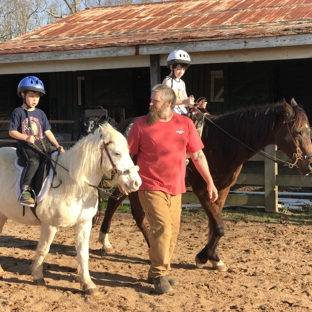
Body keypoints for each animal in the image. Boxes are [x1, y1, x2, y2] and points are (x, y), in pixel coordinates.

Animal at [0, 122, 140, 294]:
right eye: (117, 153)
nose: (136, 183)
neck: (72, 182)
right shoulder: (49, 225)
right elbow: (43, 249)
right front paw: (38, 276)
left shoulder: (84, 224)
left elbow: (83, 254)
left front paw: (88, 284)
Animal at [97, 98, 312, 272]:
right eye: (297, 132)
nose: (308, 164)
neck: (222, 142)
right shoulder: (202, 189)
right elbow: (219, 227)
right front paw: (203, 257)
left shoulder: (221, 189)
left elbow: (213, 224)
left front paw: (215, 258)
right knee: (139, 216)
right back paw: (152, 249)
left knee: (114, 201)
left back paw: (105, 242)